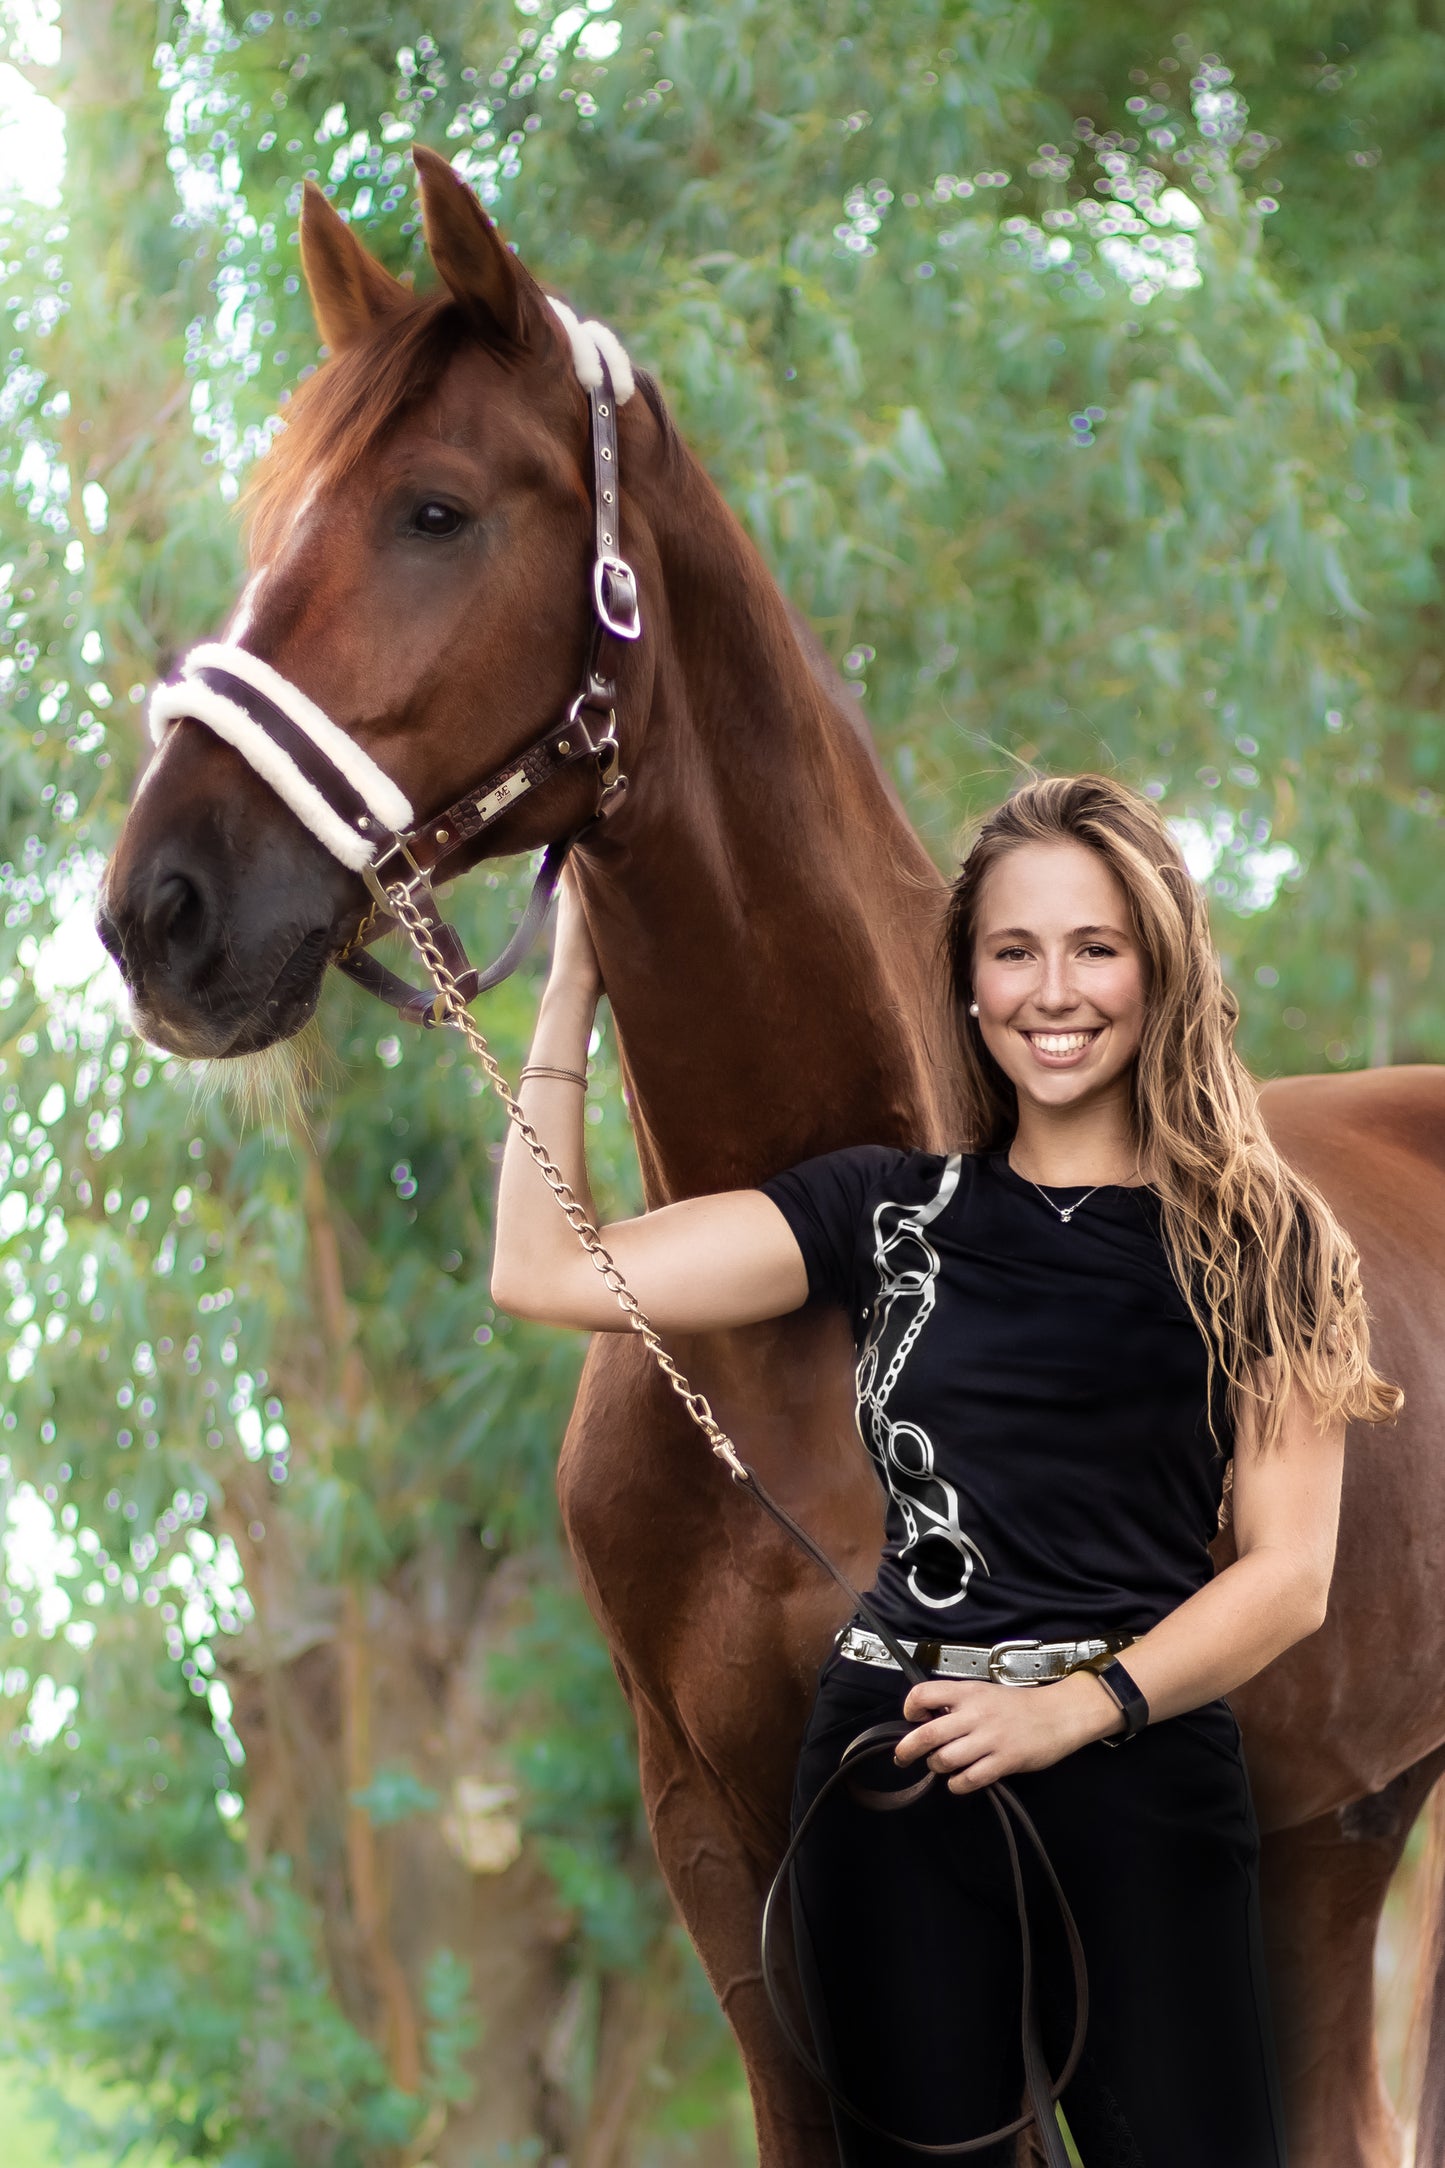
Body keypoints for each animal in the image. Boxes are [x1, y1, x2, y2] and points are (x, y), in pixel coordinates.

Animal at [101, 144, 1445, 2159]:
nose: (158, 910)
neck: (777, 1340)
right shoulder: (732, 1866)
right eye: (272, 514)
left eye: (433, 510)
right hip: (1333, 1844)